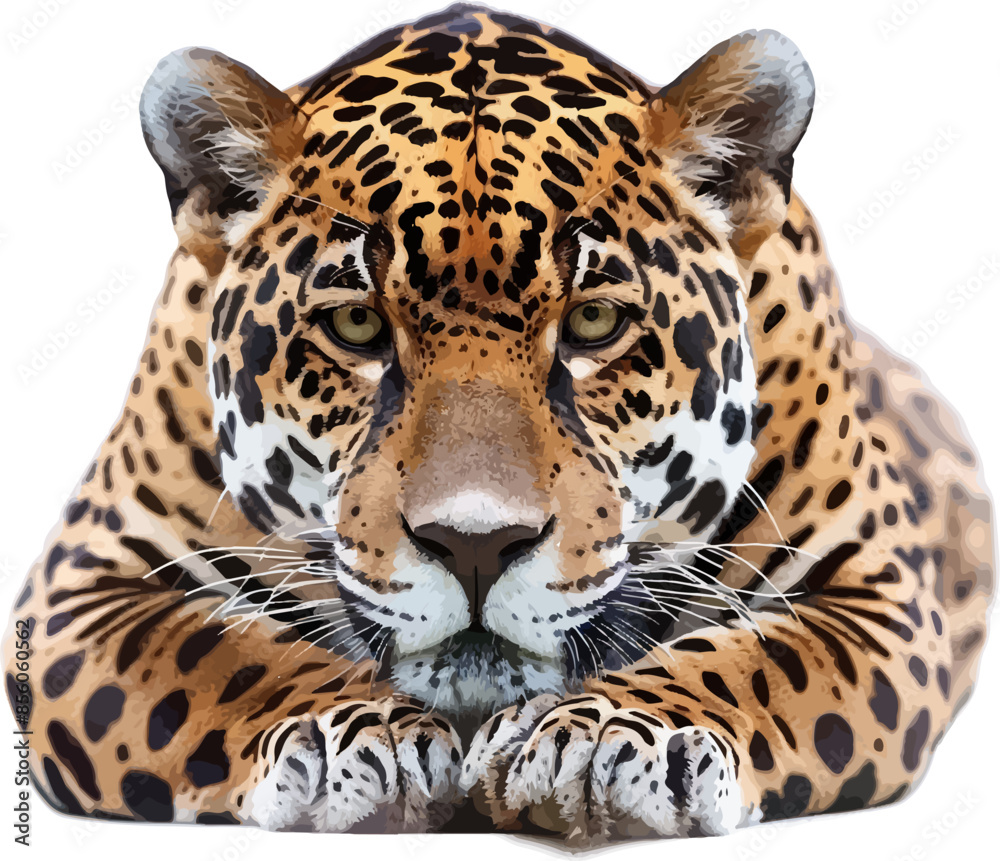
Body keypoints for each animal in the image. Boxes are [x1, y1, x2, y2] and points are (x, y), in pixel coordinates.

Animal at [4, 2, 994, 844]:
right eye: (355, 325)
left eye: (594, 322)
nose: (474, 544)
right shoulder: (79, 593)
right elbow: (226, 654)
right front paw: (357, 734)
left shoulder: (878, 596)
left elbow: (749, 663)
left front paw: (603, 737)